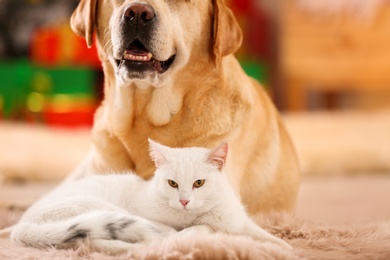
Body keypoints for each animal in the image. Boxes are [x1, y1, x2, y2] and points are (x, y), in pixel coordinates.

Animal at [10, 139, 290, 253]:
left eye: (199, 183)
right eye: (172, 183)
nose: (184, 201)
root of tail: (22, 227)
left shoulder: (240, 222)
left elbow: (270, 239)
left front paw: (285, 248)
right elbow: (196, 230)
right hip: (100, 210)